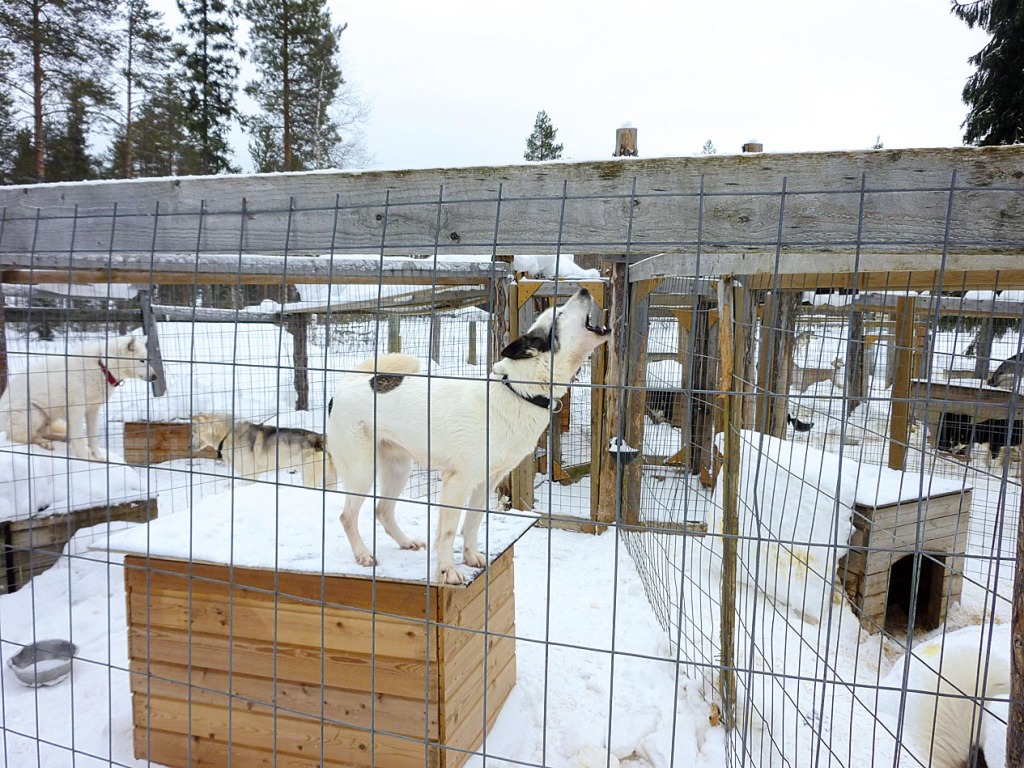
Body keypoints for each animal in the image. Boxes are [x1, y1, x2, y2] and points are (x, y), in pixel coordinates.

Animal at [0, 333, 155, 460]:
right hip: (32, 412)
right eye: (142, 361)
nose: (155, 377)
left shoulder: (92, 411)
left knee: (43, 433)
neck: (103, 366)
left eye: (147, 360)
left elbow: (93, 438)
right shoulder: (76, 410)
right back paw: (46, 444)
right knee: (24, 437)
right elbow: (79, 438)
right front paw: (86, 458)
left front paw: (99, 457)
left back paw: (61, 438)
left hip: (48, 417)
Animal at [189, 415, 335, 487]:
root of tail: (319, 437)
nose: (189, 448)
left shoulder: (249, 475)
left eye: (193, 433)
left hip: (310, 479)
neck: (228, 435)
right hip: (330, 480)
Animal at [327, 286, 610, 581]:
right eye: (560, 314)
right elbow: (448, 531)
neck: (519, 391)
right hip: (362, 472)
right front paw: (447, 570)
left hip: (398, 469)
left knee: (382, 510)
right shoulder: (457, 481)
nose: (584, 289)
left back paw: (405, 542)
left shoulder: (487, 481)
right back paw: (363, 554)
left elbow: (473, 522)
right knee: (347, 516)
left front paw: (471, 557)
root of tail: (347, 384)